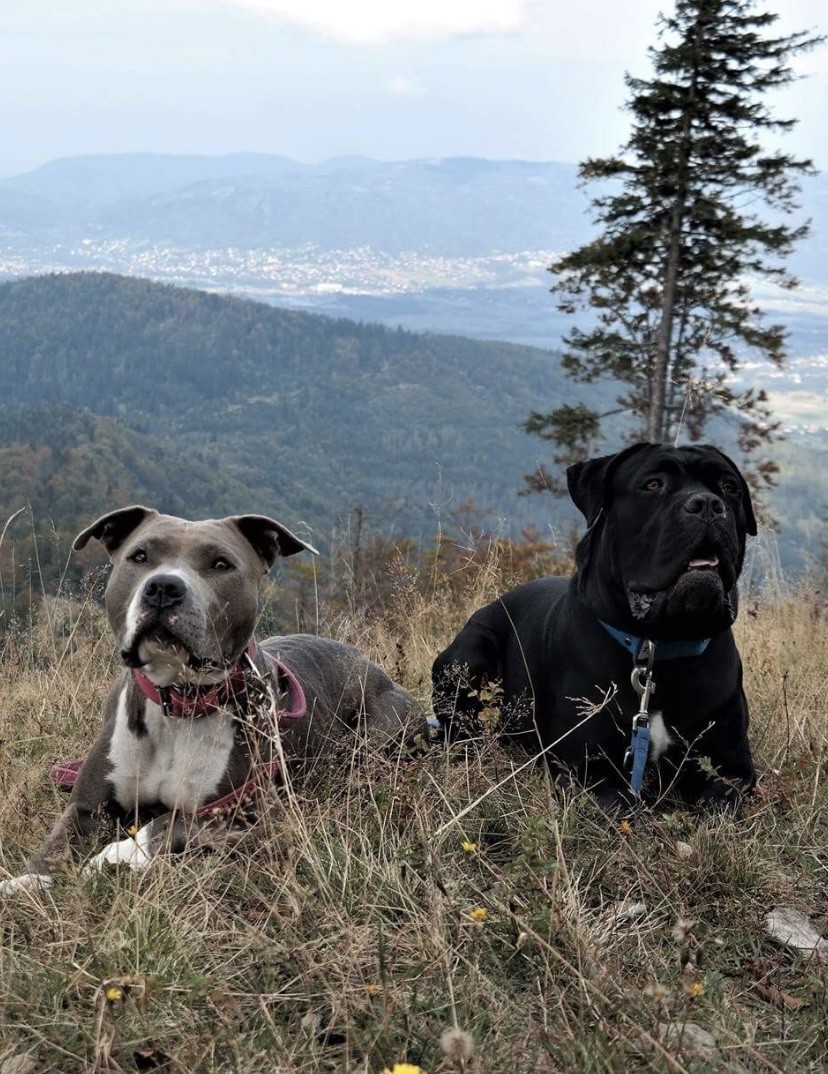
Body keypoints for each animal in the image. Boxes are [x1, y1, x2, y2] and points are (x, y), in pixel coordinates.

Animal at [1, 506, 421, 894]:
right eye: (140, 556)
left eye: (221, 564)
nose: (164, 587)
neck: (178, 701)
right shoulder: (87, 807)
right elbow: (56, 845)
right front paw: (26, 881)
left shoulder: (262, 818)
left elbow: (175, 821)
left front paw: (122, 852)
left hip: (375, 735)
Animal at [432, 443, 758, 811]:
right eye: (653, 484)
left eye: (730, 487)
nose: (707, 504)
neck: (659, 645)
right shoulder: (585, 769)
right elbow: (619, 803)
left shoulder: (731, 766)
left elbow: (718, 799)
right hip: (468, 655)